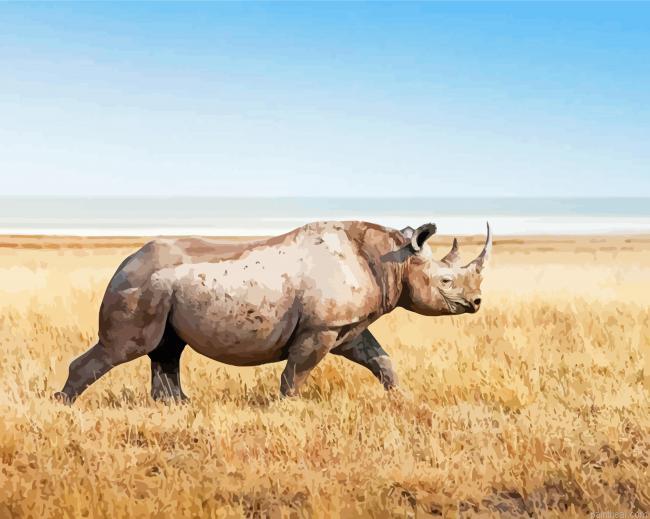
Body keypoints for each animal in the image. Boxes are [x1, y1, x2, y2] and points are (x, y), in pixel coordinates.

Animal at [54, 220, 491, 403]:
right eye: (446, 280)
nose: (476, 303)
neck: (391, 259)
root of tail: (125, 260)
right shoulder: (320, 327)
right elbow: (297, 371)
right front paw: (289, 408)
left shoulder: (346, 326)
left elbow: (381, 359)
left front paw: (401, 398)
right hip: (139, 284)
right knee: (126, 347)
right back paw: (63, 404)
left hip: (160, 287)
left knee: (167, 348)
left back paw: (178, 406)